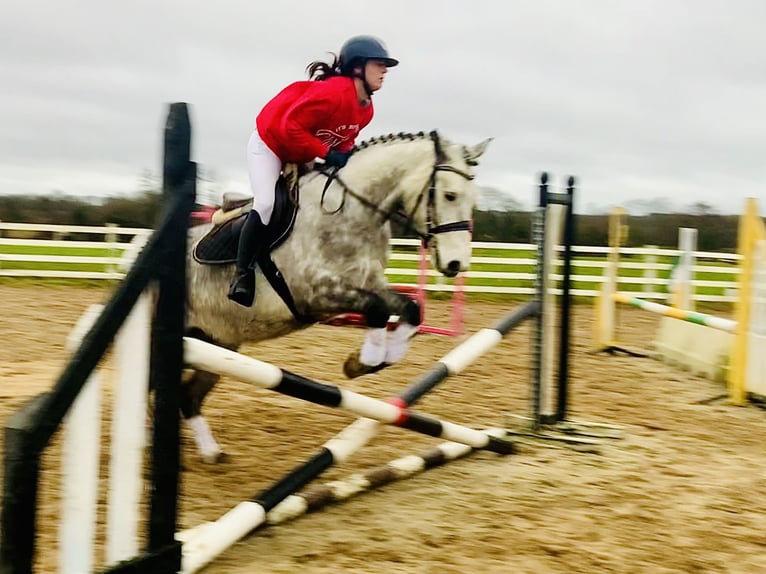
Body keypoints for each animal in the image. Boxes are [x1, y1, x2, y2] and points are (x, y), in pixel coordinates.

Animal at [184, 130, 492, 464]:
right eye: (449, 195)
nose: (456, 265)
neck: (351, 214)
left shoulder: (370, 285)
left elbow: (409, 308)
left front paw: (369, 360)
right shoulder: (316, 294)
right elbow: (380, 309)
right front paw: (365, 360)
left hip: (218, 343)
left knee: (190, 396)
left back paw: (211, 452)